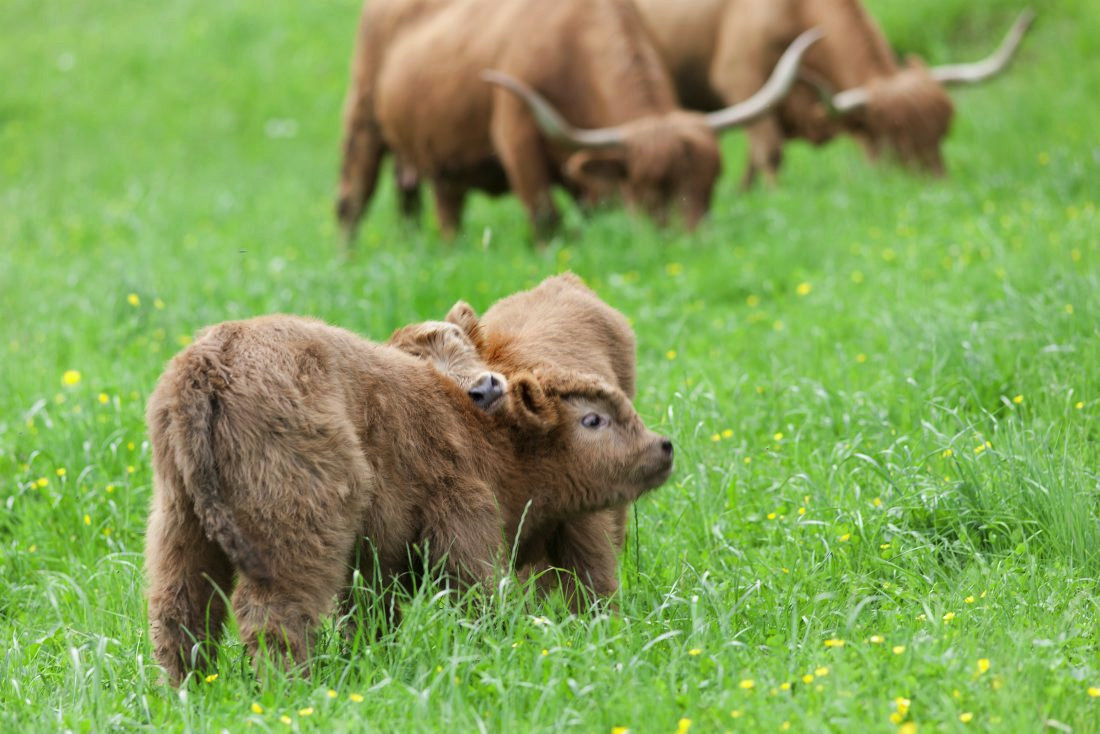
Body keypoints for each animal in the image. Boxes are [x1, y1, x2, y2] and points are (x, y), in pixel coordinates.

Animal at [146, 316, 668, 691]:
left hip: (180, 518)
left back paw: (188, 691)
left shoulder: (376, 559)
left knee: (181, 608)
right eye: (593, 419)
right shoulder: (464, 517)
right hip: (298, 525)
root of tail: (208, 364)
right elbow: (480, 591)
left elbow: (372, 614)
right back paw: (292, 691)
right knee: (273, 614)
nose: (664, 447)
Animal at [338, 0, 822, 244]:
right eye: (647, 191)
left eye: (711, 186)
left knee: (434, 206)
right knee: (353, 197)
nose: (690, 245)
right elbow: (545, 217)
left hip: (437, 161)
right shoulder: (517, 137)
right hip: (363, 116)